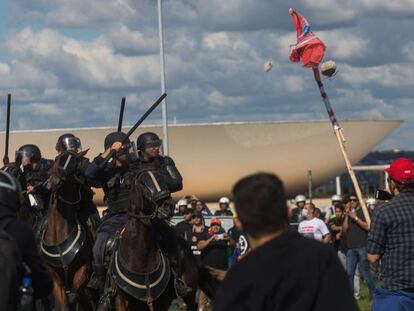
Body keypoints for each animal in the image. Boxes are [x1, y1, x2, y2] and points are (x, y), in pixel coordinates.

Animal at [40, 151, 95, 310]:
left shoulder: (83, 271)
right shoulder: (55, 279)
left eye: (75, 166)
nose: (54, 182)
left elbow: (74, 297)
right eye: (56, 160)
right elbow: (64, 303)